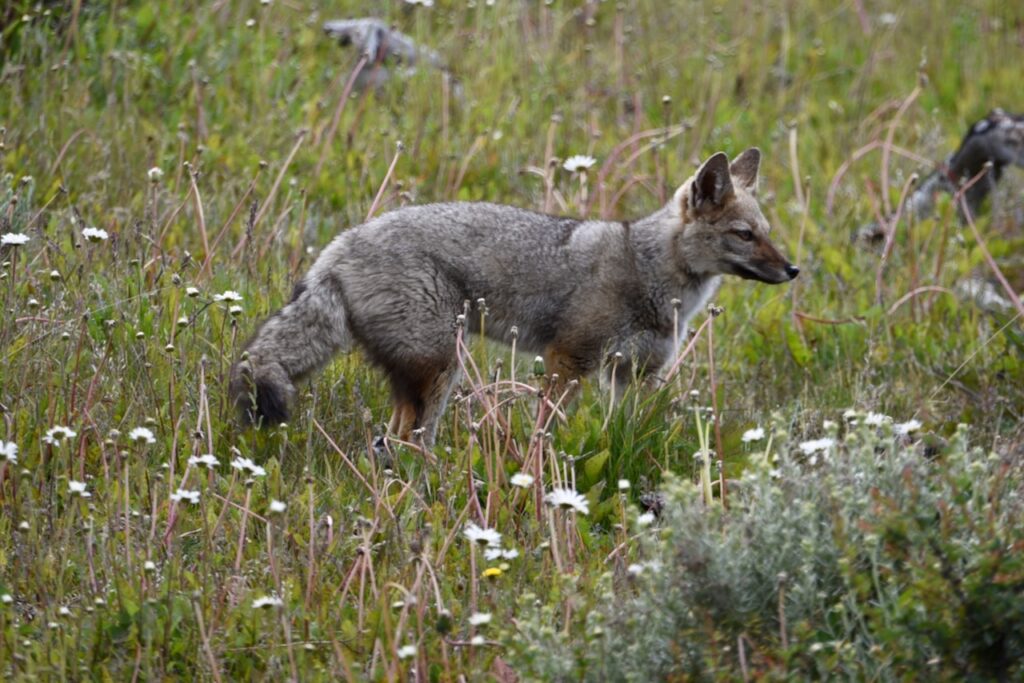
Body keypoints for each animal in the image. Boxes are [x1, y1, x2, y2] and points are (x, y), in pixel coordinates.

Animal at [229, 148, 799, 448]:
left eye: (767, 233)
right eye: (745, 235)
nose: (793, 269)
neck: (648, 269)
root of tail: (340, 245)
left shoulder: (634, 376)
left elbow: (624, 433)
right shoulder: (568, 359)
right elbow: (549, 429)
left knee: (389, 442)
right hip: (443, 368)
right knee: (403, 442)